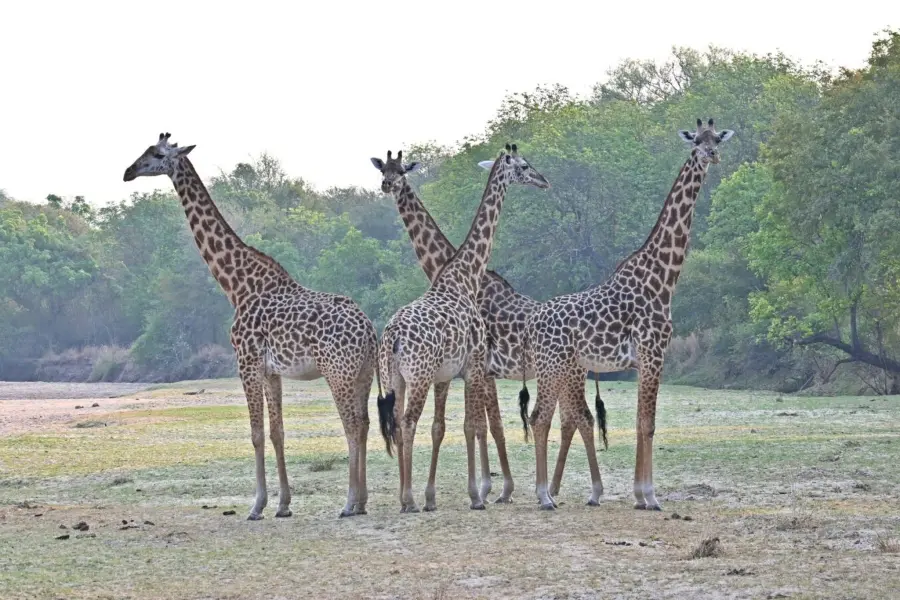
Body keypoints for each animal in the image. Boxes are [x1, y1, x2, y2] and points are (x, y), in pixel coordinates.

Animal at [122, 134, 380, 516]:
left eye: (155, 153)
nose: (128, 171)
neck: (237, 285)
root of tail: (369, 331)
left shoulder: (246, 361)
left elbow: (256, 432)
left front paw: (257, 505)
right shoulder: (271, 370)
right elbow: (277, 432)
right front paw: (283, 504)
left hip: (338, 372)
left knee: (351, 424)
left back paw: (349, 503)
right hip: (362, 372)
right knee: (363, 422)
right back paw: (360, 501)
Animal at [372, 145, 548, 510]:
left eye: (401, 171)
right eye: (383, 169)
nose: (544, 180)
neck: (458, 274)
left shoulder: (474, 368)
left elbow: (479, 426)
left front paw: (490, 490)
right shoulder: (473, 368)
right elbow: (478, 426)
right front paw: (488, 490)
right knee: (405, 423)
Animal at [524, 118, 736, 510]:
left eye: (717, 138)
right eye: (695, 141)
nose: (712, 155)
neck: (664, 278)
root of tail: (533, 321)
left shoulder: (644, 360)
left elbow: (641, 421)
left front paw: (640, 495)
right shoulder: (654, 353)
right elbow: (648, 423)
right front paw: (650, 497)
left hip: (565, 368)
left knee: (558, 418)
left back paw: (557, 493)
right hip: (552, 366)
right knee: (540, 417)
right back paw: (544, 496)